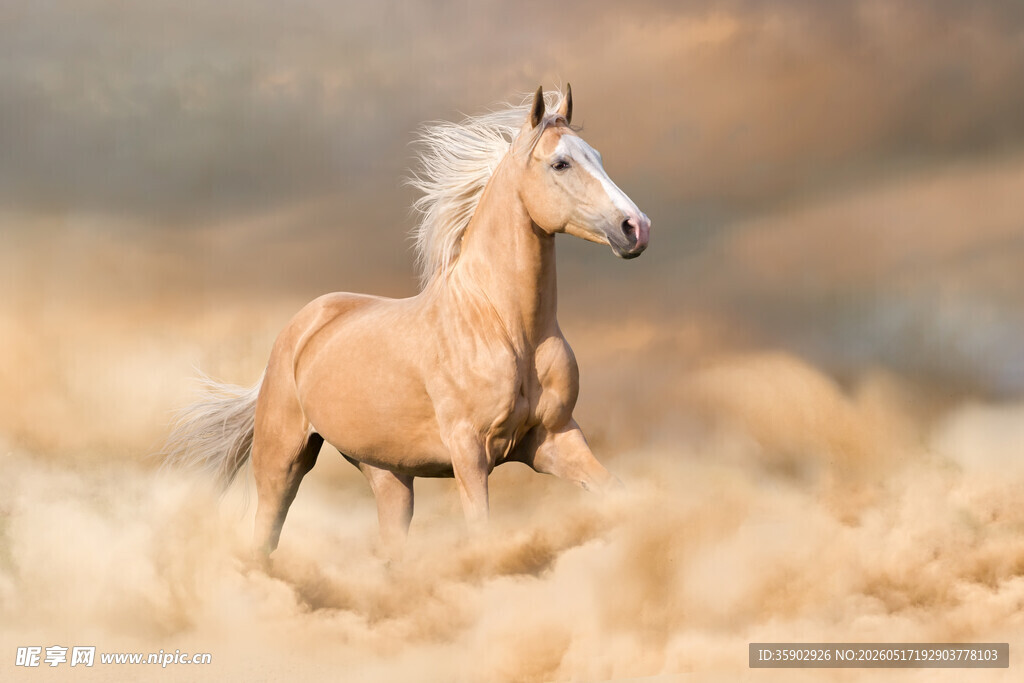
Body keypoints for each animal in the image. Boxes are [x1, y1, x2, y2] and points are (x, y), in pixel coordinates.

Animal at [163, 85, 651, 560]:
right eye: (560, 163)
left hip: (386, 473)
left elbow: (620, 495)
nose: (636, 228)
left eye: (597, 156)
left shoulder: (554, 439)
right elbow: (482, 534)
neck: (506, 328)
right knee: (265, 537)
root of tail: (300, 328)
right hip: (281, 461)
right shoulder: (470, 451)